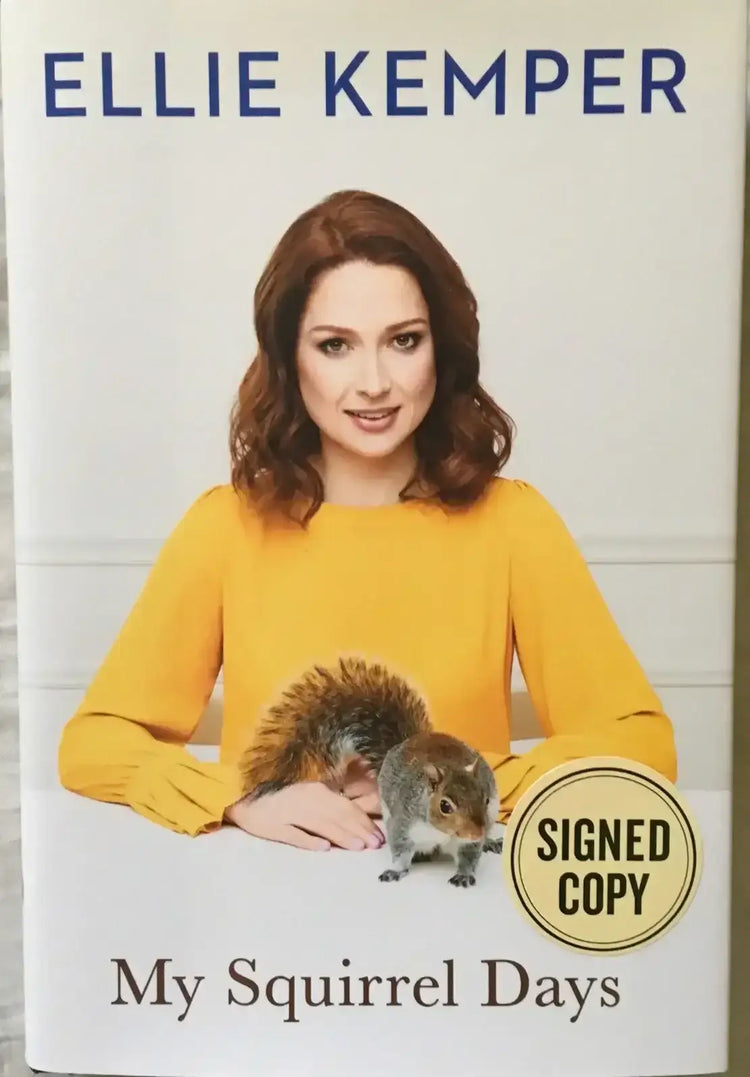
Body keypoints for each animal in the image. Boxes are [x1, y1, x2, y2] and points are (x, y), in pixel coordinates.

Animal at [238, 656, 503, 887]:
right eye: (445, 806)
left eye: (485, 799)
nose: (477, 832)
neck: (441, 833)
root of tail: (409, 741)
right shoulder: (402, 822)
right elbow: (401, 850)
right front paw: (395, 870)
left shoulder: (468, 838)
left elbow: (469, 856)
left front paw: (465, 873)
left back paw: (490, 840)